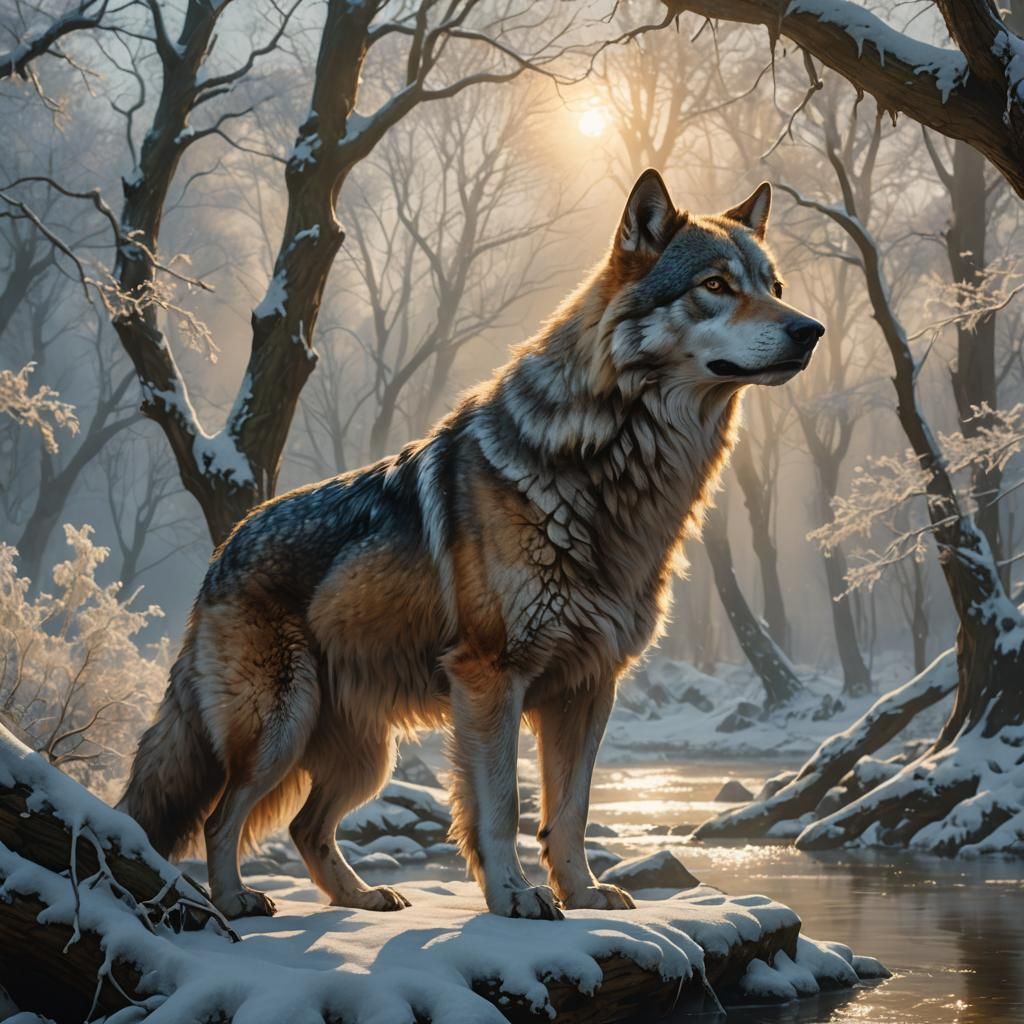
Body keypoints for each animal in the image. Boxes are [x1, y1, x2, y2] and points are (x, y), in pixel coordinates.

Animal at [119, 169, 822, 920]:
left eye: (774, 285)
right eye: (716, 285)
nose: (810, 330)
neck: (607, 470)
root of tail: (224, 548)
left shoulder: (588, 688)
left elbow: (570, 811)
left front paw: (581, 892)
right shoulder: (490, 676)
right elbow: (502, 807)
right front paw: (514, 897)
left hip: (366, 760)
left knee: (306, 828)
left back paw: (362, 898)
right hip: (282, 729)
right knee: (222, 818)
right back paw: (234, 902)